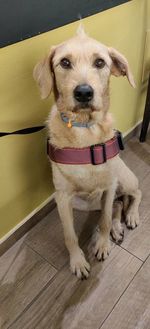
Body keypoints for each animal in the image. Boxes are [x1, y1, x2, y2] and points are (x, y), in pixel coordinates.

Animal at [33, 26, 142, 276]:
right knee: (117, 205)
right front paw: (78, 261)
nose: (84, 92)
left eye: (100, 62)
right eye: (64, 62)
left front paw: (102, 244)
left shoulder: (109, 186)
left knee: (135, 194)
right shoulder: (63, 198)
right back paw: (117, 227)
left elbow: (103, 220)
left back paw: (130, 217)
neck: (84, 130)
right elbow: (70, 235)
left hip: (125, 179)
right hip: (82, 203)